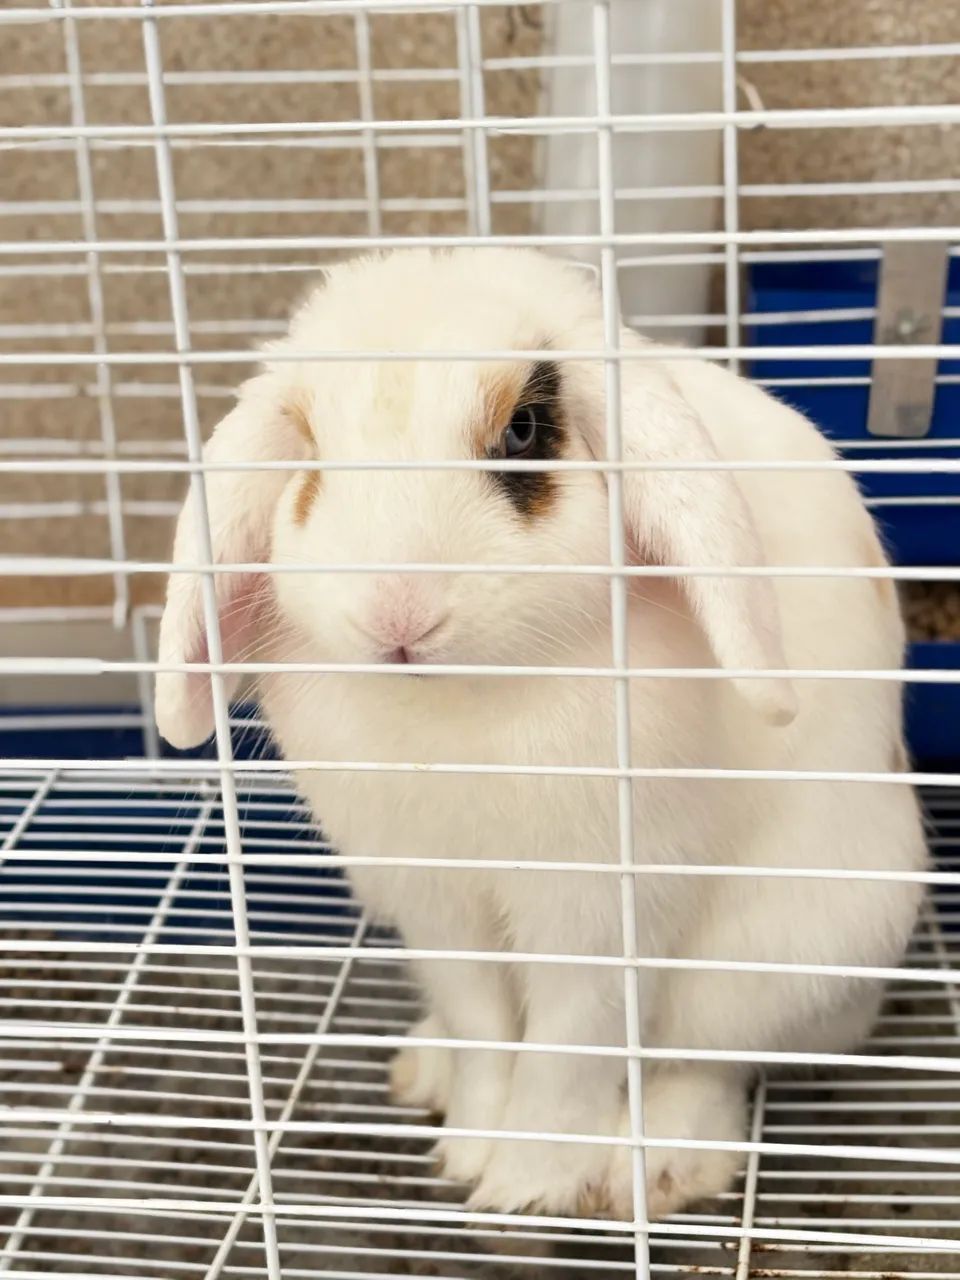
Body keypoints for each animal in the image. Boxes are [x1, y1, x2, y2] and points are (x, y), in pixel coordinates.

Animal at [155, 248, 926, 1221]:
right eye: (313, 456)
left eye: (522, 431)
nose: (396, 615)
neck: (460, 703)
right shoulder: (440, 907)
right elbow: (488, 1028)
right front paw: (468, 1149)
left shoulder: (598, 912)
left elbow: (569, 1050)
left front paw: (527, 1184)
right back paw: (425, 1071)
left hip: (789, 951)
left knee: (707, 1063)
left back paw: (658, 1171)